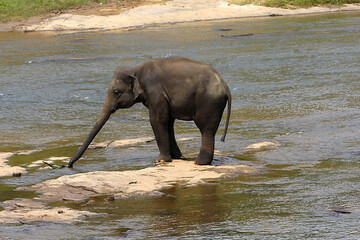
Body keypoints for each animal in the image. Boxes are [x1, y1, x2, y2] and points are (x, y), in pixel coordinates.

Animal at [67, 57, 231, 168]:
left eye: (116, 92)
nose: (69, 165)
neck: (135, 70)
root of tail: (225, 85)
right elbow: (168, 121)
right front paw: (176, 157)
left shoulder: (155, 91)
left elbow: (157, 119)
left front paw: (161, 160)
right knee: (209, 128)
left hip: (208, 101)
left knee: (205, 128)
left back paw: (199, 163)